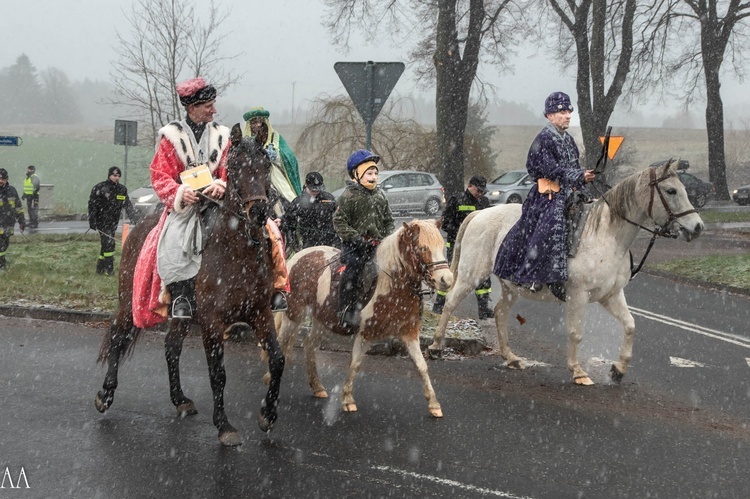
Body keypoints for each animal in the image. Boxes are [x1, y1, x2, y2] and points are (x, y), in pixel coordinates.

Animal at [92, 124, 284, 446]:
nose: (258, 212)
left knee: (171, 347)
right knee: (118, 338)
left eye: (266, 165)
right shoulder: (212, 321)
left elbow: (278, 360)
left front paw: (268, 415)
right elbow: (218, 374)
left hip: (181, 314)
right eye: (234, 166)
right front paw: (224, 425)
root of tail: (140, 228)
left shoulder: (260, 313)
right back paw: (105, 394)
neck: (236, 251)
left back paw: (179, 399)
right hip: (129, 303)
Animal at [266, 221, 452, 420]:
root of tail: (297, 257)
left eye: (442, 245)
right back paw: (270, 379)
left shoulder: (409, 334)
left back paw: (317, 387)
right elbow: (355, 364)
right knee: (281, 344)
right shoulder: (365, 334)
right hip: (293, 316)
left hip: (322, 320)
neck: (391, 283)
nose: (446, 280)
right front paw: (348, 399)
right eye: (422, 248)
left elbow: (422, 366)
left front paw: (434, 404)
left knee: (310, 345)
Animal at [428, 160, 704, 386]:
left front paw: (618, 369)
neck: (606, 236)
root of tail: (478, 213)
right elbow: (576, 333)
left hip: (509, 286)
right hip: (471, 275)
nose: (698, 227)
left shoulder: (611, 295)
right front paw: (578, 372)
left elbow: (630, 326)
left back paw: (511, 357)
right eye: (671, 191)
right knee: (450, 303)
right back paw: (436, 346)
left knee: (500, 313)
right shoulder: (578, 295)